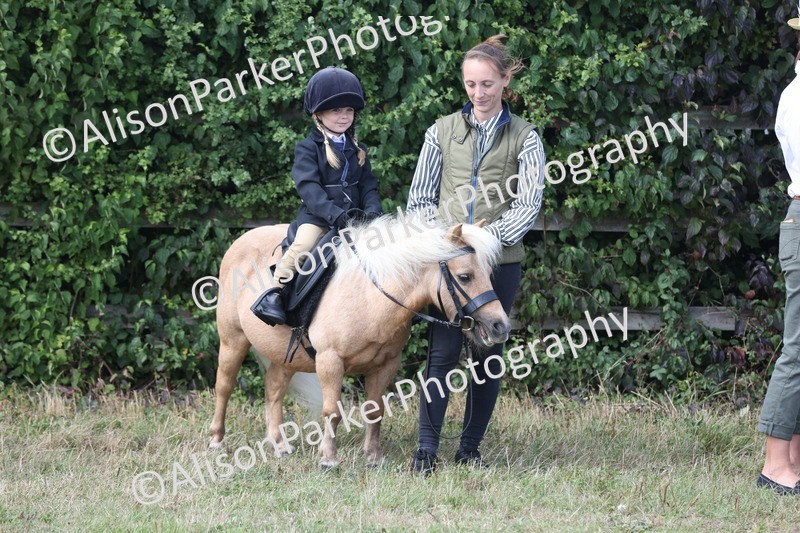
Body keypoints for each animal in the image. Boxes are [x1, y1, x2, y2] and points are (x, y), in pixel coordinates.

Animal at [208, 214, 511, 468]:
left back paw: (279, 445)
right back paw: (216, 440)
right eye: (465, 277)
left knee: (273, 389)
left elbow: (375, 410)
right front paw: (329, 459)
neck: (369, 296)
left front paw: (374, 457)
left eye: (489, 274)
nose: (500, 326)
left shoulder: (385, 365)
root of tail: (243, 240)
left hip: (286, 356)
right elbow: (332, 411)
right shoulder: (330, 361)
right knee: (224, 386)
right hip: (232, 340)